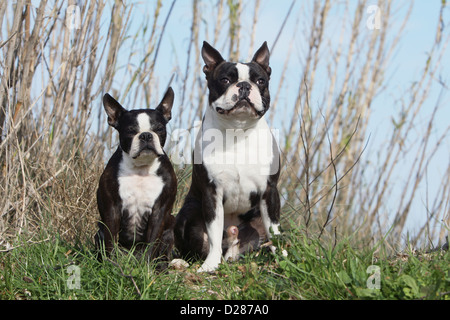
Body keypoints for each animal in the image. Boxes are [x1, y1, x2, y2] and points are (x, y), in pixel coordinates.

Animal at [96, 87, 177, 260]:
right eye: (130, 131)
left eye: (159, 129)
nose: (146, 135)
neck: (141, 169)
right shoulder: (112, 208)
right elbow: (110, 240)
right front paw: (110, 263)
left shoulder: (159, 211)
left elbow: (152, 242)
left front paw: (146, 265)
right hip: (99, 228)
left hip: (170, 224)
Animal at [174, 41, 284, 272]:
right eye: (225, 80)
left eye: (260, 81)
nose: (244, 86)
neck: (237, 131)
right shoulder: (212, 192)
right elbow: (214, 233)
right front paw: (210, 265)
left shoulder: (269, 191)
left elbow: (276, 232)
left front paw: (284, 259)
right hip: (186, 216)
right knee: (195, 248)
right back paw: (182, 262)